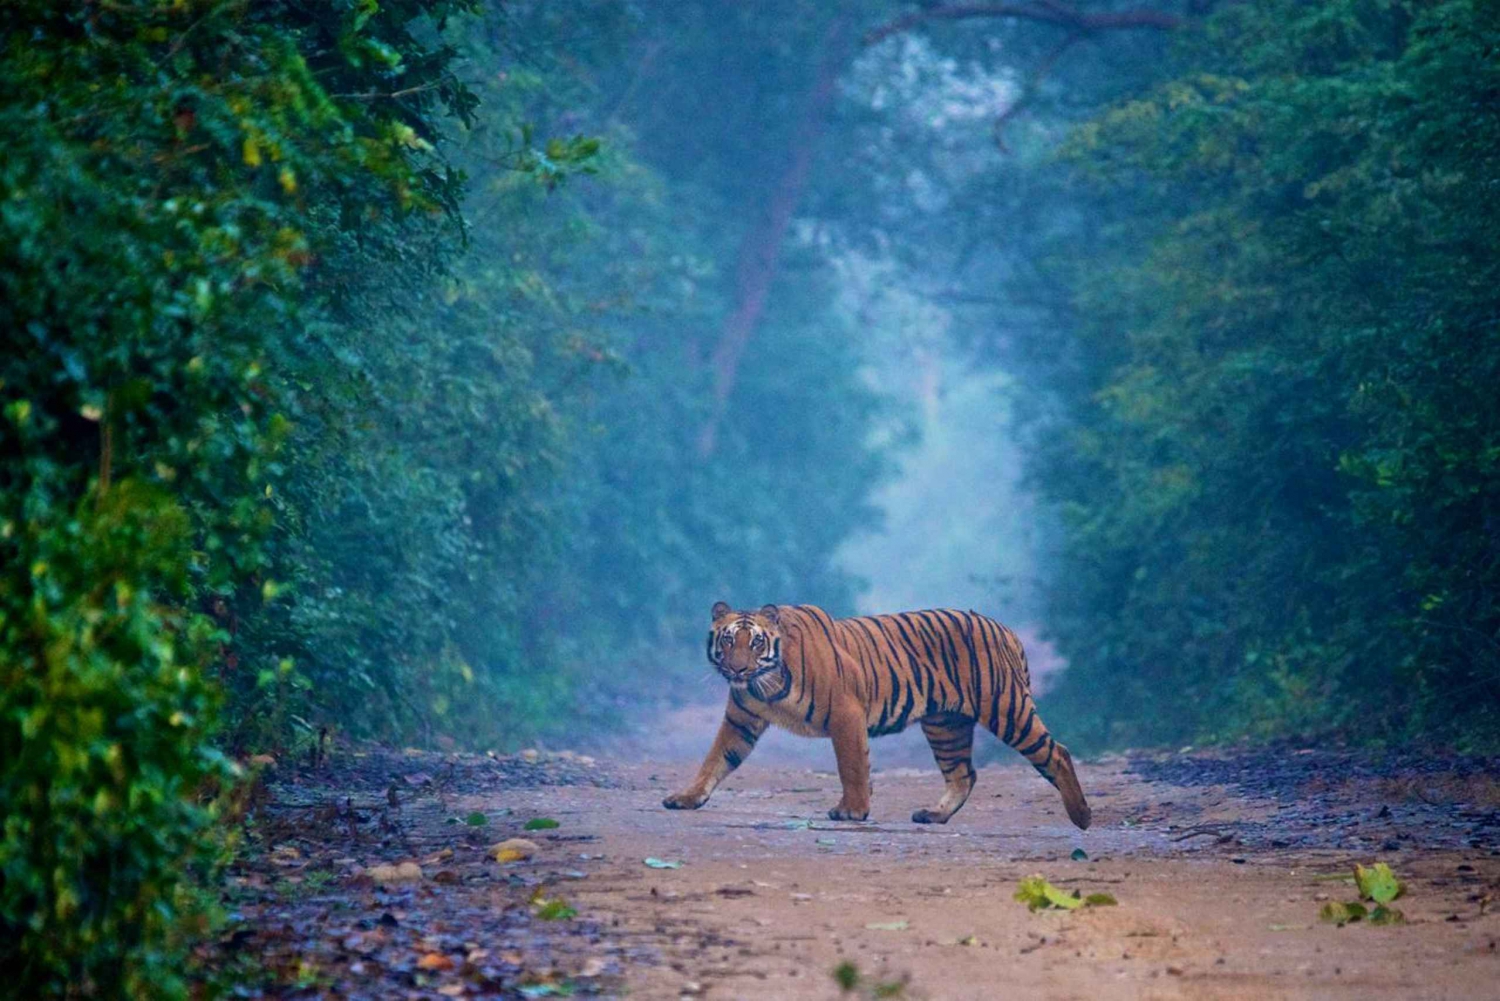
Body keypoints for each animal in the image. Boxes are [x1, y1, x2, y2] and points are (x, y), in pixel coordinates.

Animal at [666, 603, 1092, 828]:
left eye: (755, 642)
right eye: (727, 640)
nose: (737, 669)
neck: (763, 684)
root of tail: (1005, 628)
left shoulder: (846, 713)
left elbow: (852, 765)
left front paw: (851, 811)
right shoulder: (740, 721)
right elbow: (714, 761)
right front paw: (686, 798)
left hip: (1006, 708)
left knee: (1057, 752)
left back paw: (1082, 816)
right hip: (946, 725)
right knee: (963, 774)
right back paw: (933, 815)